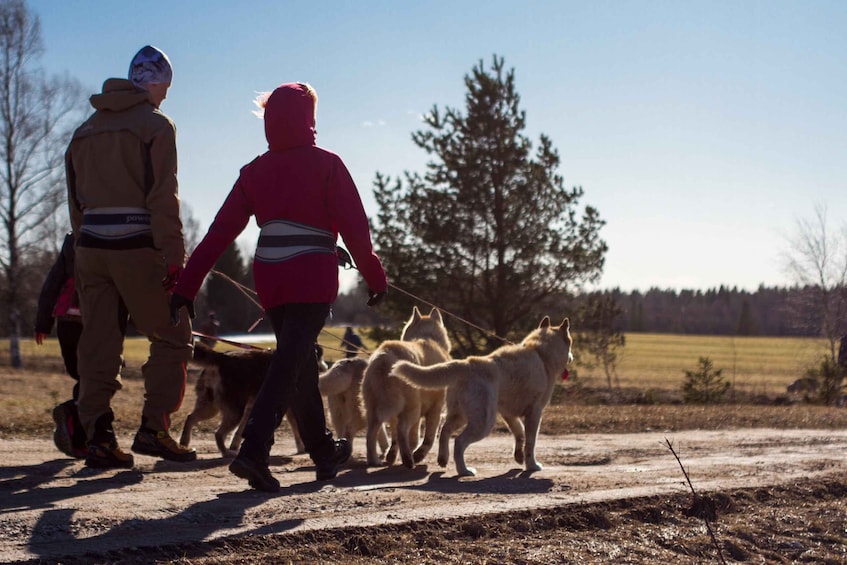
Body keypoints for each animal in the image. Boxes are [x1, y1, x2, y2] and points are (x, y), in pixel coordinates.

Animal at [362, 306, 454, 470]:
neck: (428, 336)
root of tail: (385, 356)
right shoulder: (435, 410)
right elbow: (428, 438)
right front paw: (418, 455)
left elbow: (407, 439)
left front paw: (393, 456)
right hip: (411, 409)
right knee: (401, 430)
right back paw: (407, 460)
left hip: (374, 410)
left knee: (371, 435)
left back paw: (374, 460)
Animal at [394, 318, 572, 476]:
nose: (571, 357)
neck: (540, 354)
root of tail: (466, 364)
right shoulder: (534, 414)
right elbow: (531, 443)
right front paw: (532, 466)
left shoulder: (508, 413)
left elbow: (519, 432)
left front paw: (519, 456)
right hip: (483, 423)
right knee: (458, 442)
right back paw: (464, 471)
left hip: (462, 415)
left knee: (444, 430)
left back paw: (443, 458)